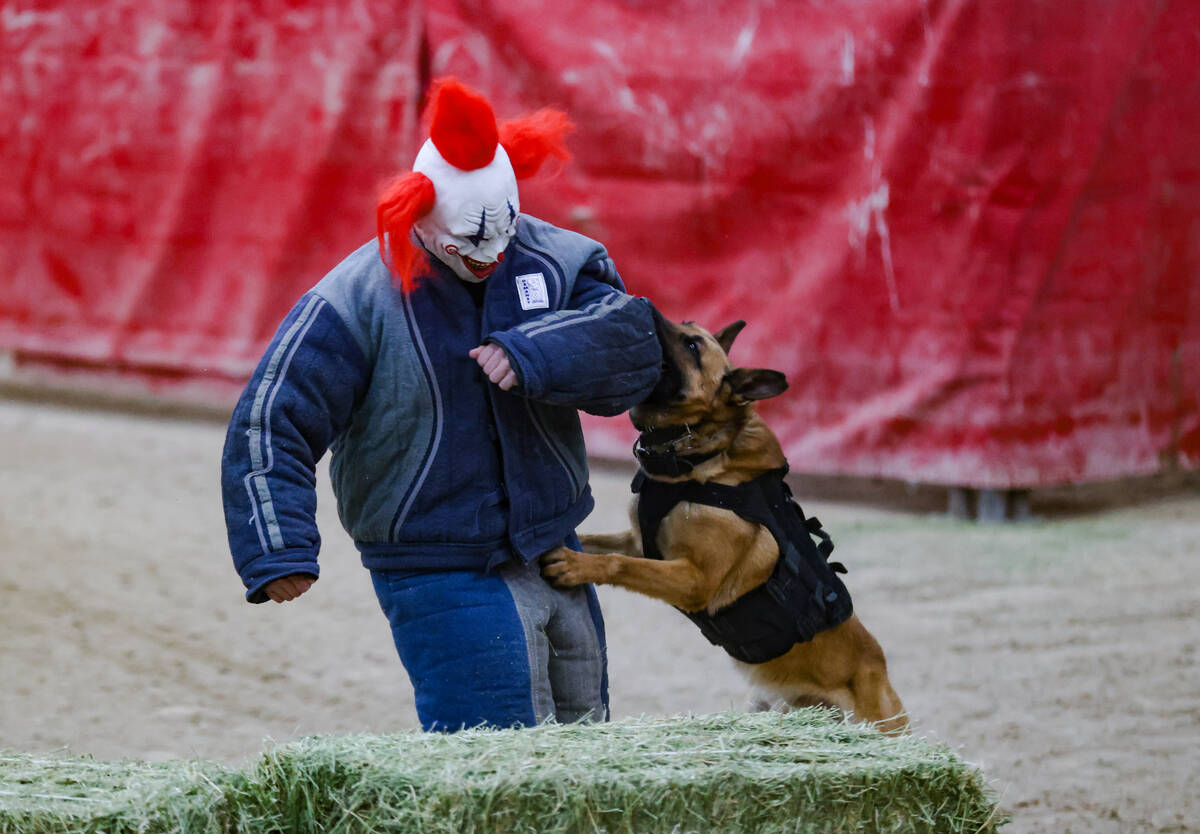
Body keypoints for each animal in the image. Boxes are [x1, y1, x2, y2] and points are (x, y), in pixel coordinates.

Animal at [540, 316, 902, 734]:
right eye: (685, 326)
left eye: (693, 346)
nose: (645, 310)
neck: (698, 457)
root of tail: (881, 672)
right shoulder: (638, 540)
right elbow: (597, 541)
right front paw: (574, 549)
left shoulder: (695, 580)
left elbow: (622, 565)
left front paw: (575, 565)